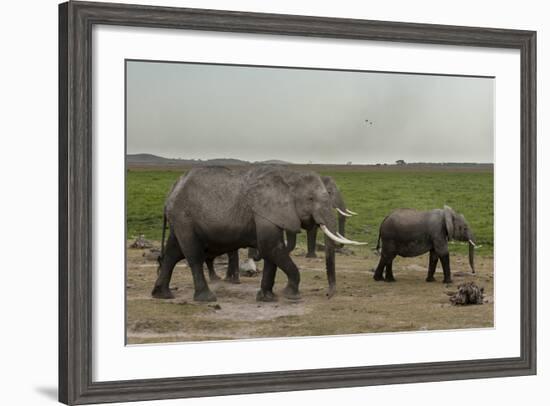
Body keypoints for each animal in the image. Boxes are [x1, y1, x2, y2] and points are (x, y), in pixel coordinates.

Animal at [151, 165, 366, 302]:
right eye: (311, 199)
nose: (328, 295)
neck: (290, 177)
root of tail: (171, 192)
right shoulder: (265, 211)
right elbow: (270, 247)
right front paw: (291, 295)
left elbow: (272, 252)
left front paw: (267, 298)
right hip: (184, 217)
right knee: (193, 255)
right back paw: (207, 298)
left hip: (180, 219)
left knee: (172, 253)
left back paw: (162, 295)